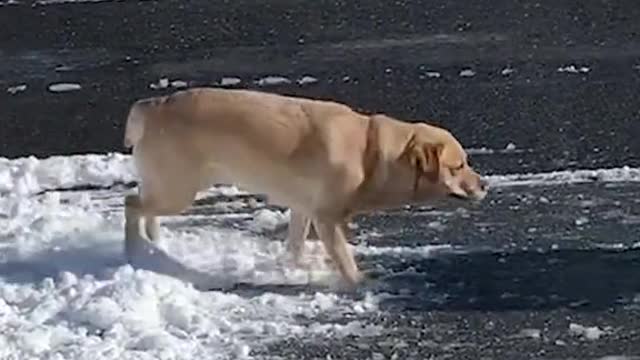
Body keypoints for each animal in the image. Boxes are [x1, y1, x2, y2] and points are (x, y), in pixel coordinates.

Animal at [122, 88, 488, 288]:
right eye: (458, 166)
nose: (484, 184)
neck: (370, 152)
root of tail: (152, 105)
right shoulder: (326, 218)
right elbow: (344, 258)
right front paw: (358, 284)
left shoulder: (302, 208)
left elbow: (296, 244)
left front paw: (297, 269)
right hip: (177, 190)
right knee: (131, 203)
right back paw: (134, 252)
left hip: (167, 187)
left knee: (145, 208)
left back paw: (155, 246)